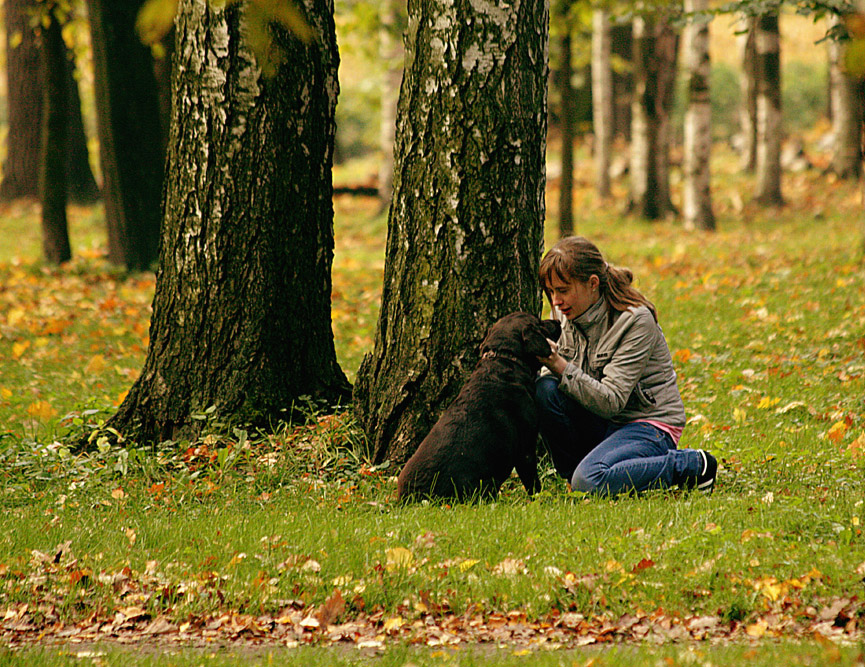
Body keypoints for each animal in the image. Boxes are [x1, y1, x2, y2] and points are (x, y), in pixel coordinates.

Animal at [396, 314, 560, 500]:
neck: (505, 359)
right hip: (485, 484)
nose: (558, 321)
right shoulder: (526, 449)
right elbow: (533, 484)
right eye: (539, 323)